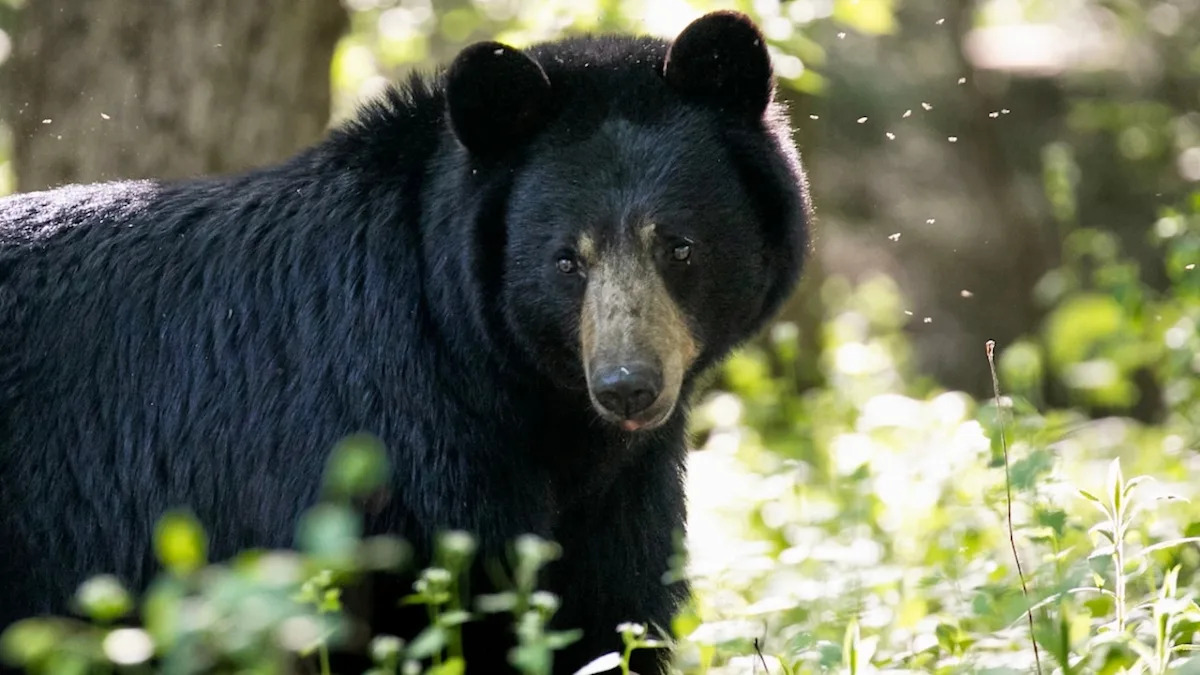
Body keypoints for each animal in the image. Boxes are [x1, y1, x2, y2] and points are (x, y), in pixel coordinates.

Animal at [0, 10, 810, 674]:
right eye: (565, 260)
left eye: (677, 245)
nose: (627, 385)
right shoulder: (377, 446)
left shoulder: (620, 493)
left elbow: (609, 615)